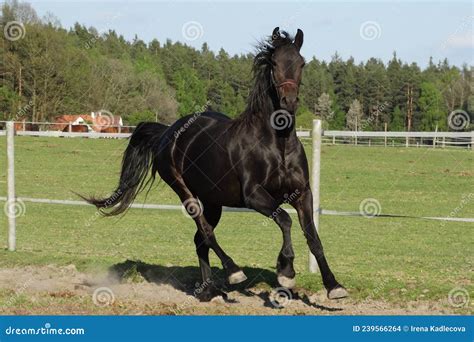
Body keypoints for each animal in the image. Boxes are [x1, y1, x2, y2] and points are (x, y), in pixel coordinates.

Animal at [83, 28, 346, 300]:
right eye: (274, 63)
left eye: (301, 63)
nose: (289, 102)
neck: (278, 145)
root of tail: (167, 132)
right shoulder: (254, 196)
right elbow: (285, 219)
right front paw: (286, 271)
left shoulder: (302, 193)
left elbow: (313, 238)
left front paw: (334, 286)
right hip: (184, 191)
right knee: (206, 233)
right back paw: (233, 272)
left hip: (213, 201)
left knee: (200, 239)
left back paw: (207, 289)